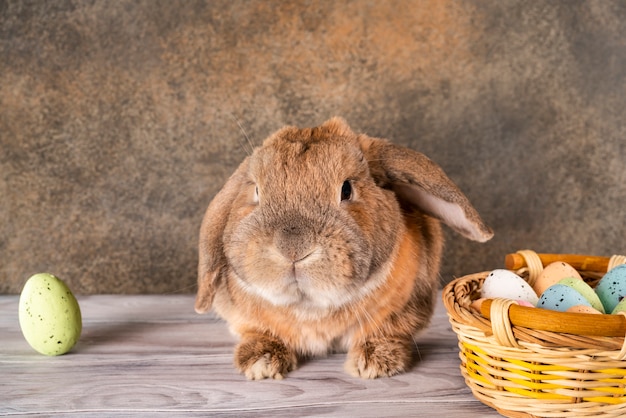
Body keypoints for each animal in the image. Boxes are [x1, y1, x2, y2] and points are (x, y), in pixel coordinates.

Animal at [193, 116, 490, 378]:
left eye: (346, 189)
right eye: (256, 191)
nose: (293, 249)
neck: (312, 308)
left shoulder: (406, 307)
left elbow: (388, 331)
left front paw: (375, 363)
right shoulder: (244, 317)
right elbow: (258, 331)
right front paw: (260, 363)